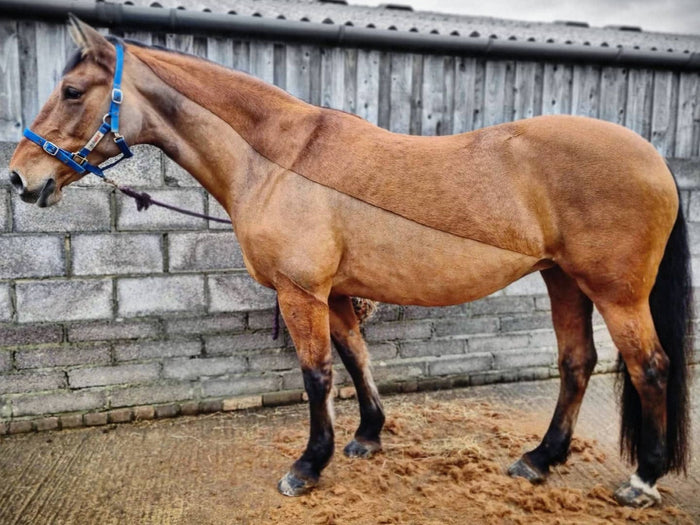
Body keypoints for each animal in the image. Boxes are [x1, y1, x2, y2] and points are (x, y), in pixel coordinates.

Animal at [9, 16, 691, 509]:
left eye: (72, 91)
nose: (20, 178)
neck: (280, 159)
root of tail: (654, 160)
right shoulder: (334, 294)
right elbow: (358, 359)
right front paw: (367, 437)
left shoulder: (300, 292)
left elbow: (317, 375)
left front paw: (307, 467)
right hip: (562, 280)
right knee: (577, 364)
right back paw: (539, 460)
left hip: (616, 294)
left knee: (650, 368)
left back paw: (642, 480)